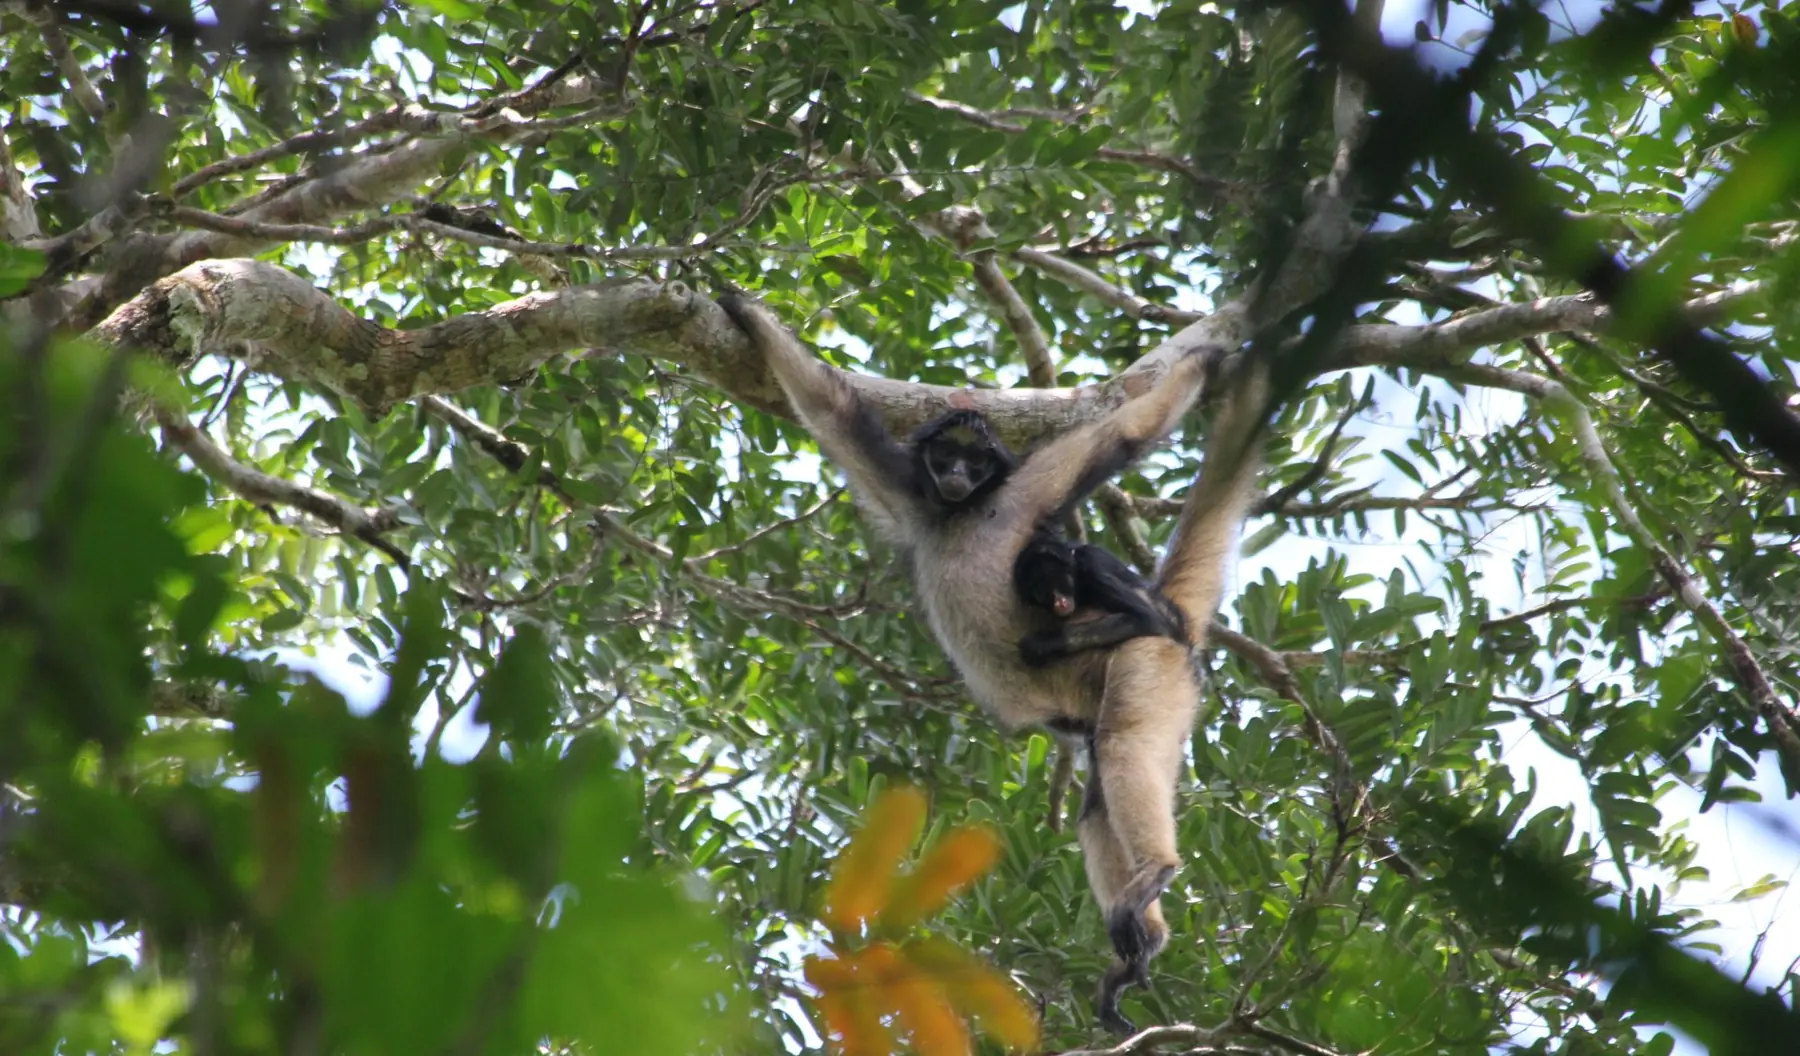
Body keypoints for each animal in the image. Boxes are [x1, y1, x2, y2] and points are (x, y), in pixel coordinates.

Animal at [1012, 527, 1188, 667]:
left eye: (1058, 580)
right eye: (1041, 592)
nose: (1059, 602)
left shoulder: (1091, 566)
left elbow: (1149, 620)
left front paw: (1045, 641)